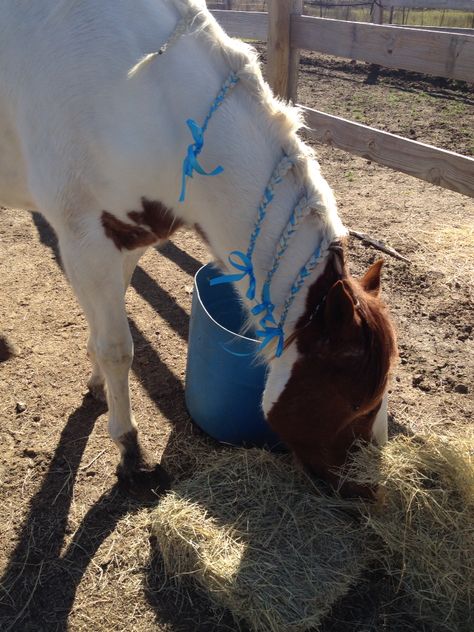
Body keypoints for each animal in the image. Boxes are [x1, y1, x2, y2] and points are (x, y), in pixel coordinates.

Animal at [0, 0, 396, 494]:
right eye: (359, 402)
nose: (366, 489)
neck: (146, 97)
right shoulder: (84, 241)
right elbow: (118, 347)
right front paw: (129, 449)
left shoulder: (127, 240)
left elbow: (103, 326)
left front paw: (96, 385)